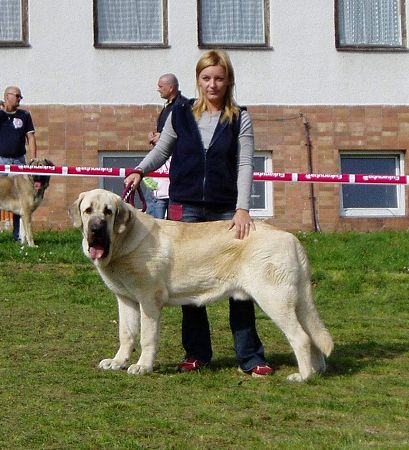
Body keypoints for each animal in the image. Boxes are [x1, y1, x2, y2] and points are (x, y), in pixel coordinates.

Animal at [69, 188, 332, 382]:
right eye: (88, 211)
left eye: (108, 212)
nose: (96, 229)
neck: (123, 242)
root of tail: (293, 239)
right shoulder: (126, 300)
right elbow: (126, 334)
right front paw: (118, 362)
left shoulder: (149, 301)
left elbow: (147, 337)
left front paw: (142, 366)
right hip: (295, 302)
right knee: (312, 335)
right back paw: (317, 372)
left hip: (274, 300)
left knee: (301, 337)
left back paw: (302, 376)